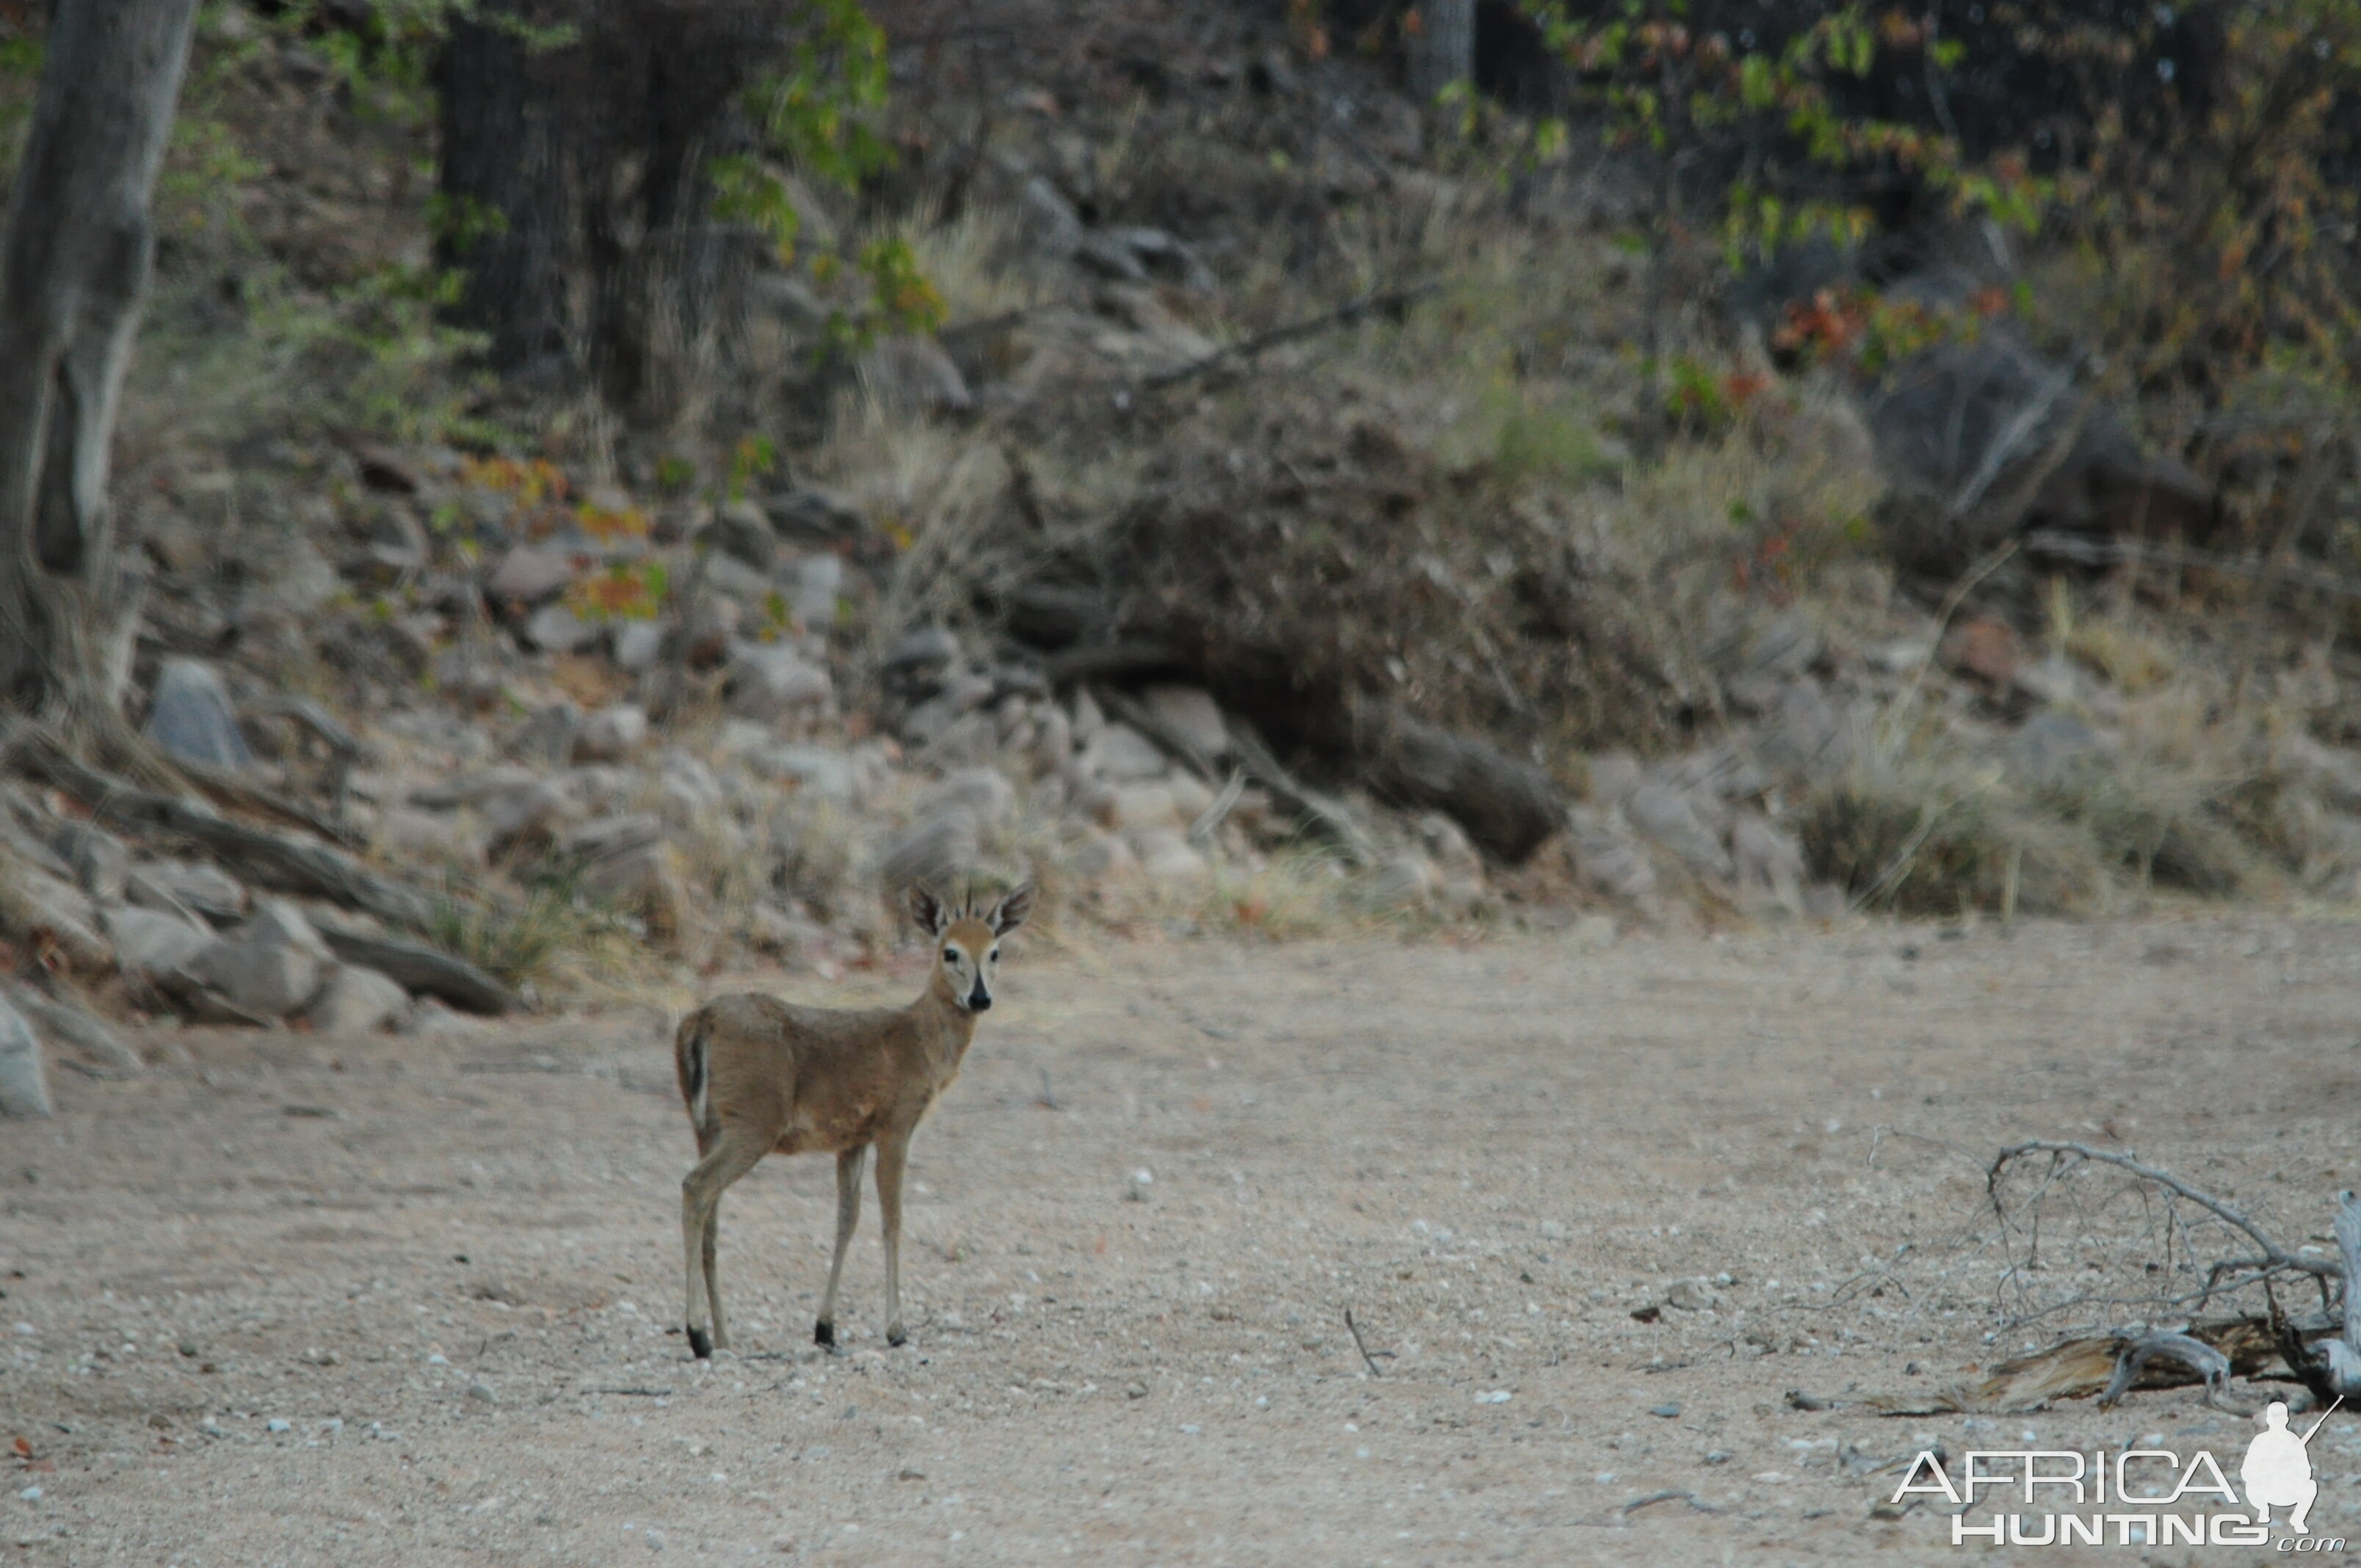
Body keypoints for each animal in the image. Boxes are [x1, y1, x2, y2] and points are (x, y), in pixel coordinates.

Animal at [670, 883, 1029, 1360]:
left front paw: (825, 1327)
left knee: (711, 1218)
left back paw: (723, 1338)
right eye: (949, 952)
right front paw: (896, 1329)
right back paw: (697, 1334)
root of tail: (700, 1020)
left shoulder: (852, 1138)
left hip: (707, 1124)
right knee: (696, 1187)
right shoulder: (896, 1122)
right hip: (754, 1119)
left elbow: (847, 1219)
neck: (920, 1042)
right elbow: (892, 1219)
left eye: (995, 951)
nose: (980, 998)